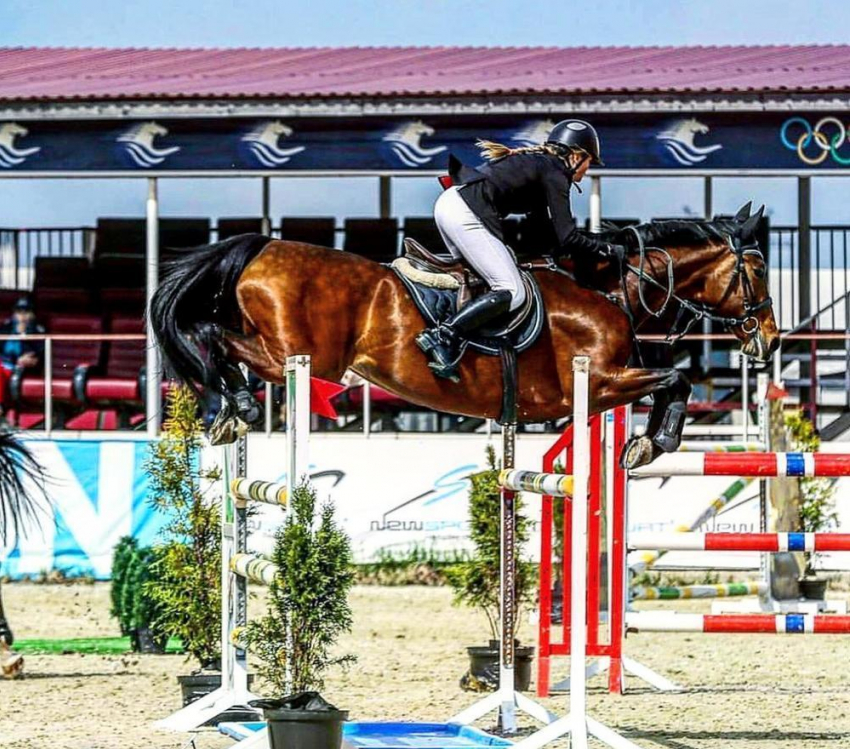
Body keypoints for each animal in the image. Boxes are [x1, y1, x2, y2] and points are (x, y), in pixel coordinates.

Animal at [147, 202, 776, 464]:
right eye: (758, 270)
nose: (768, 338)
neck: (608, 288)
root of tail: (262, 247)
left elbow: (672, 381)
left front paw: (646, 443)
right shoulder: (598, 383)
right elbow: (675, 380)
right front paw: (652, 444)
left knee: (219, 340)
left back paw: (229, 409)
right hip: (299, 359)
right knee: (214, 336)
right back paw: (232, 406)